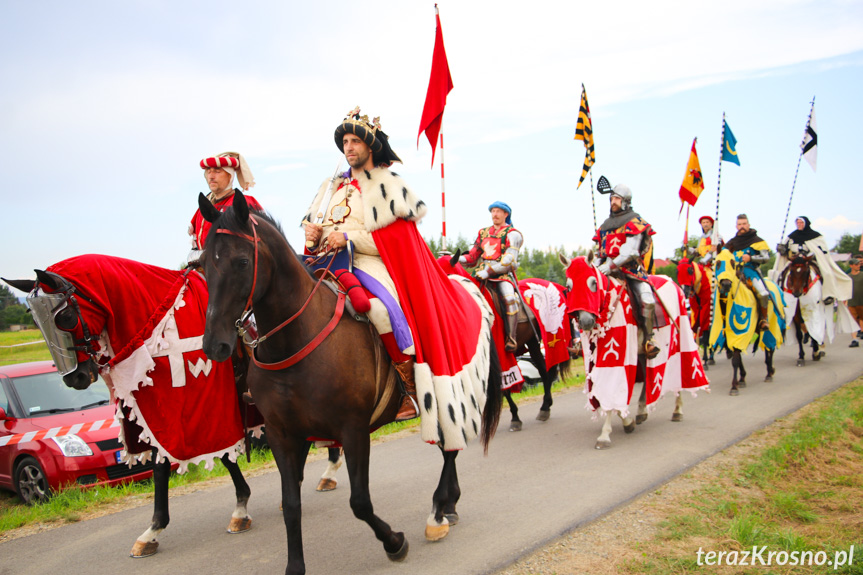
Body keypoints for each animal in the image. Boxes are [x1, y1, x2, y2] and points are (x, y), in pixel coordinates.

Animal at [4, 256, 253, 560]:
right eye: (37, 324)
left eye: (65, 317)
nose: (74, 378)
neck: (157, 322)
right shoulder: (160, 415)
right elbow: (169, 464)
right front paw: (153, 531)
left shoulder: (205, 410)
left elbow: (214, 456)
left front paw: (239, 508)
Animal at [197, 192, 502, 575]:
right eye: (203, 264)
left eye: (241, 262)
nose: (215, 345)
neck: (296, 339)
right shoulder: (283, 435)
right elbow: (291, 504)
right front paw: (295, 565)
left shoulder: (353, 428)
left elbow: (359, 502)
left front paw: (394, 542)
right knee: (450, 445)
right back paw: (448, 505)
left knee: (449, 446)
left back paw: (437, 513)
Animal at [438, 253, 572, 432]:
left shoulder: (500, 357)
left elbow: (504, 386)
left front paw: (515, 418)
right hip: (532, 341)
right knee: (543, 369)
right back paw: (546, 405)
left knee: (546, 370)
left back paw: (545, 407)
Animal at [560, 255, 708, 450]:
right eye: (569, 286)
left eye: (593, 282)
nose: (585, 321)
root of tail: (672, 282)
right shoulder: (597, 363)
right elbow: (603, 394)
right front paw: (627, 421)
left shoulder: (617, 361)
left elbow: (612, 392)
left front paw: (605, 435)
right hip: (642, 354)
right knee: (647, 375)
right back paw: (642, 410)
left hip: (678, 341)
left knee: (679, 373)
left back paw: (677, 410)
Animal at [708, 250, 784, 394]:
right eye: (718, 262)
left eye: (733, 263)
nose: (726, 285)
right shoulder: (731, 335)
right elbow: (738, 356)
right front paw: (742, 379)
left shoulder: (741, 331)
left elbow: (736, 359)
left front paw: (734, 386)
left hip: (771, 326)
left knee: (769, 347)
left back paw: (769, 373)